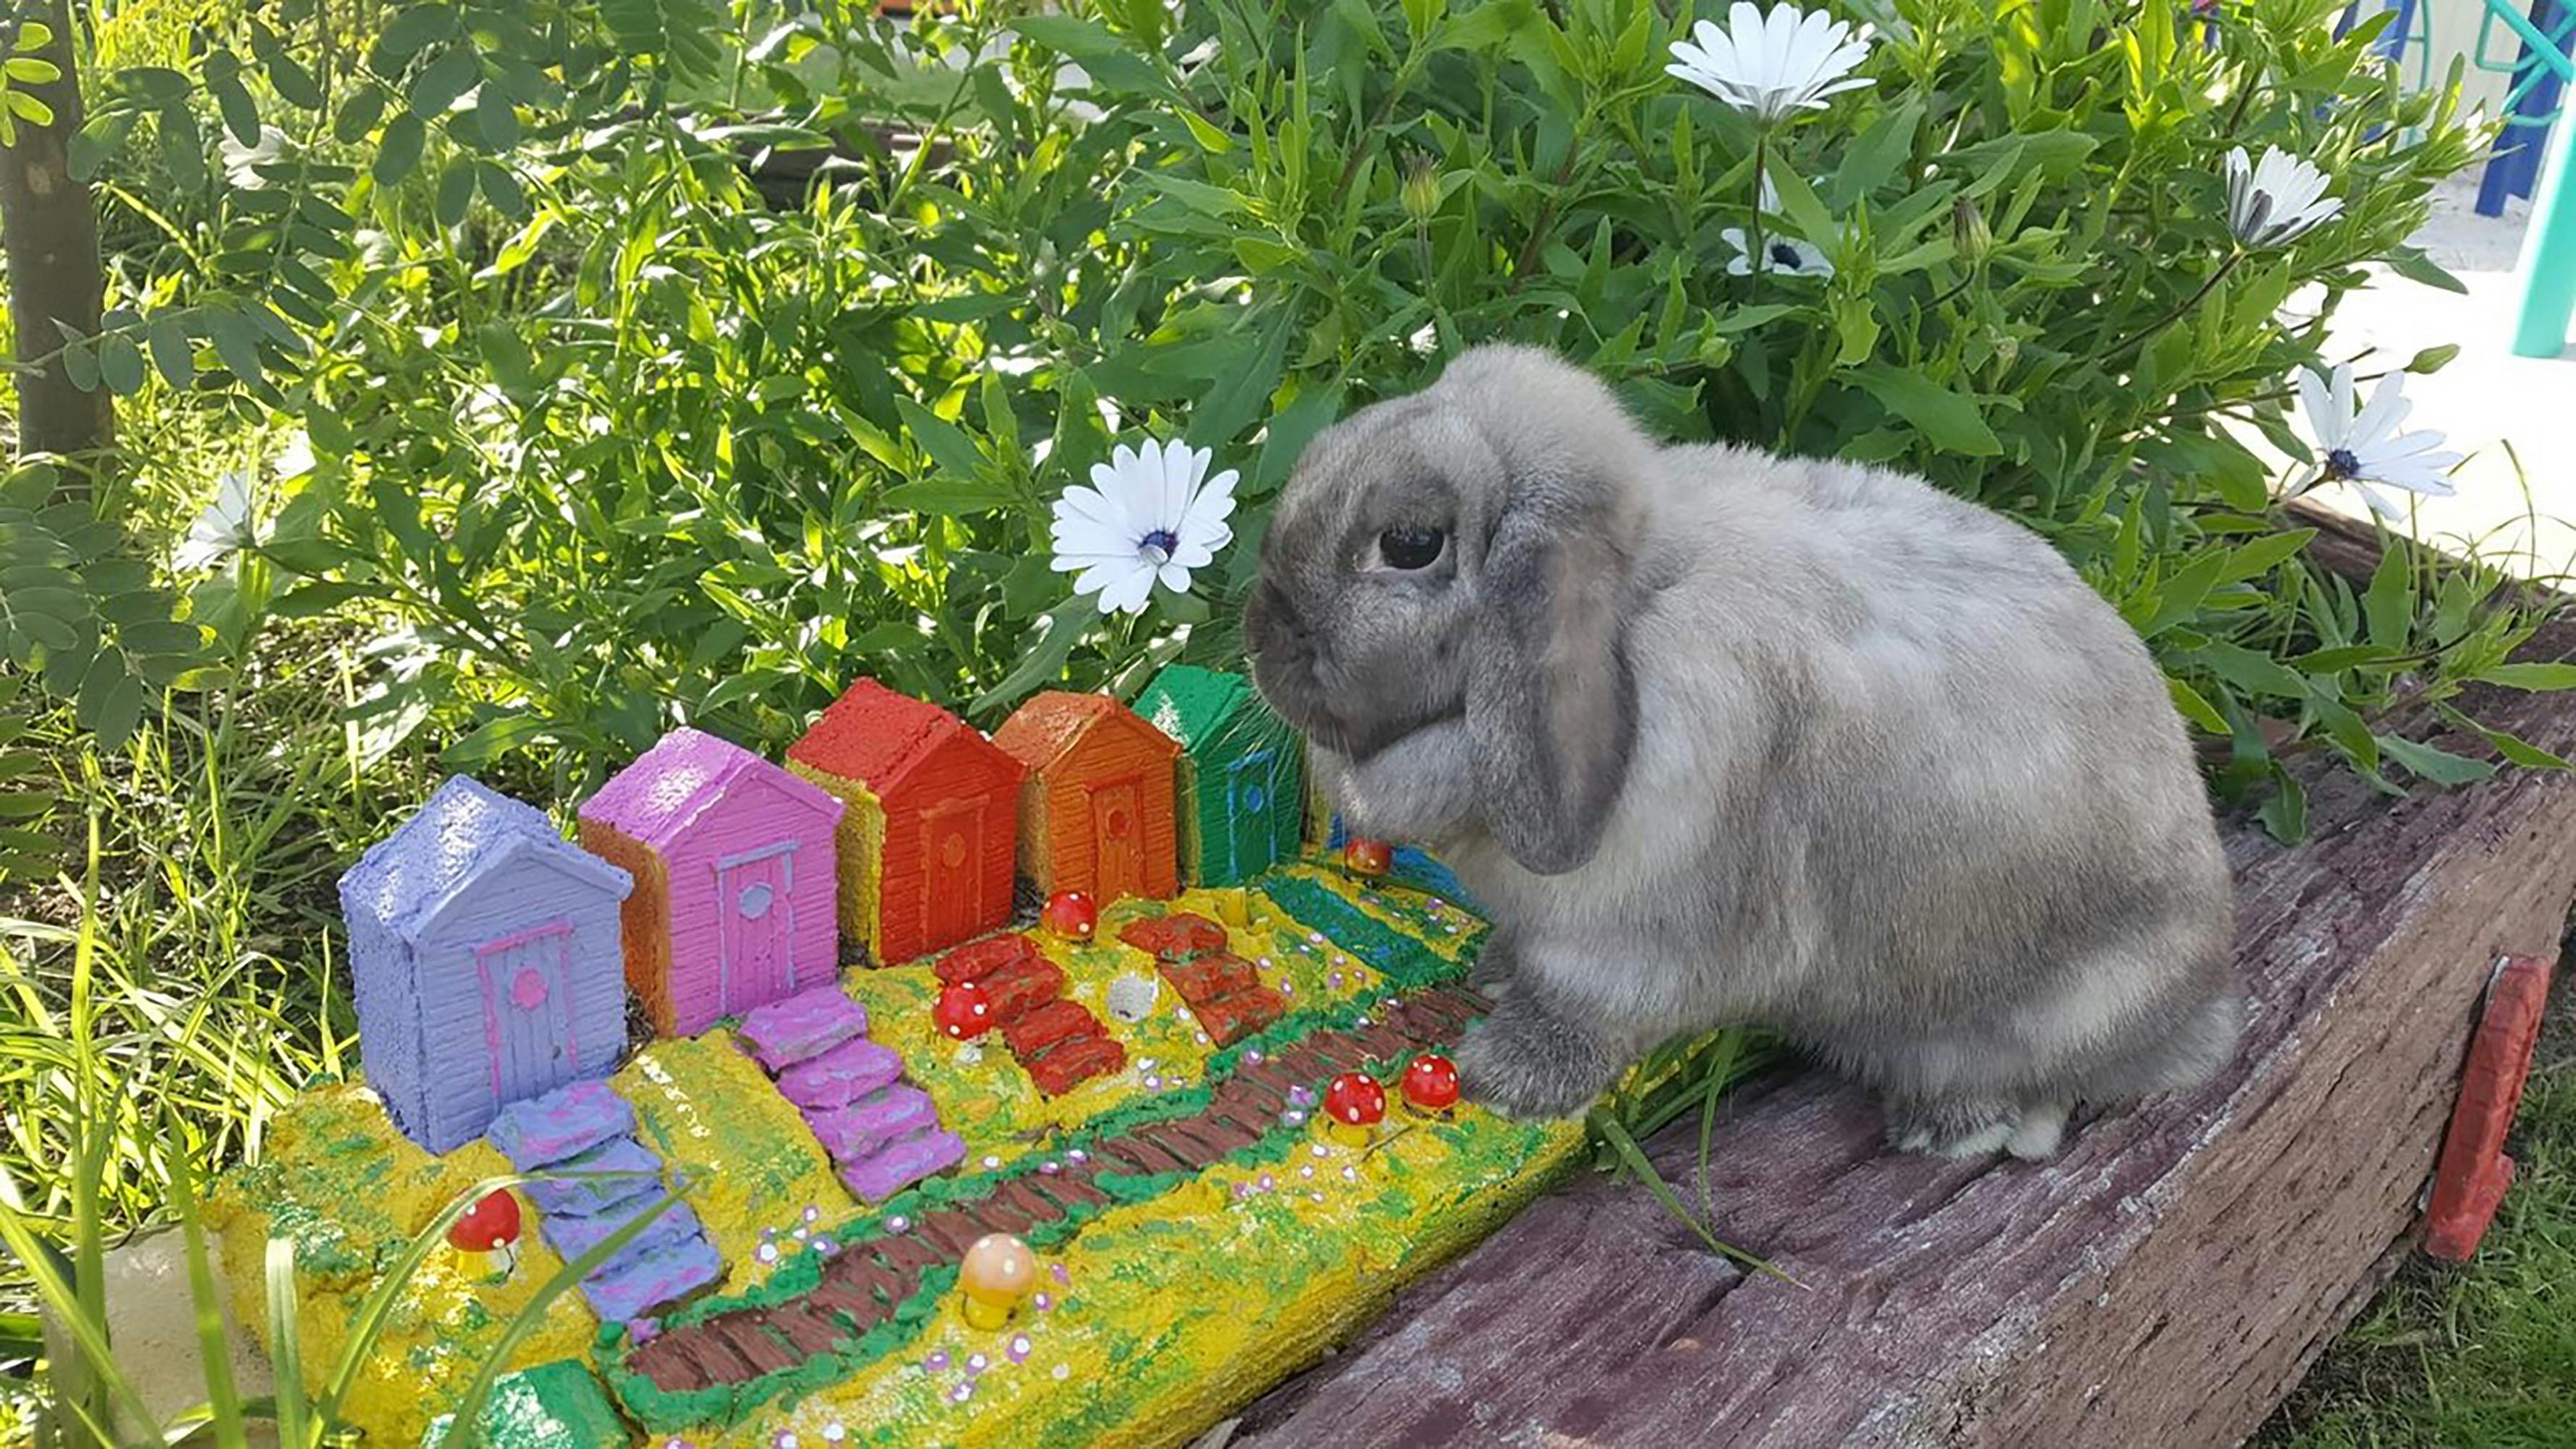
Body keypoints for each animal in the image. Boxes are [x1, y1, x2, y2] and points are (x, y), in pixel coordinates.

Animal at [1241, 343, 2242, 1160]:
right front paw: (1491, 976)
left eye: (1410, 543)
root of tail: (2202, 1011)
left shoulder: (1629, 948)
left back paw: (1949, 1128)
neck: (1632, 606)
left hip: (2054, 1007)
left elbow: (1582, 1014)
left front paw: (1504, 1078)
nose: (1261, 639)